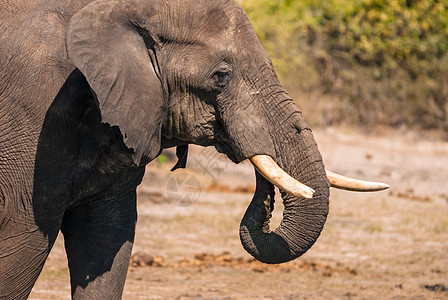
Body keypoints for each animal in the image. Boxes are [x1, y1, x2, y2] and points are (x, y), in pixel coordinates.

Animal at [0, 0, 386, 298]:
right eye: (221, 76)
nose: (265, 204)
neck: (119, 10)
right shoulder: (38, 108)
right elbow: (26, 233)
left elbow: (108, 239)